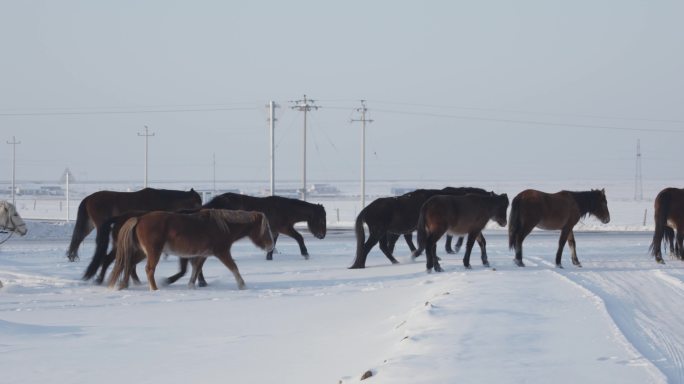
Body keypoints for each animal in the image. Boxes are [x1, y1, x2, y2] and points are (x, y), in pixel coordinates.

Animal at [66, 186, 200, 260]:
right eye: (198, 201)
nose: (201, 209)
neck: (162, 199)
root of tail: (89, 198)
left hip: (90, 225)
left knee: (78, 237)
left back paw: (71, 256)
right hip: (99, 224)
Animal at [108, 210, 274, 292]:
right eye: (265, 229)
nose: (271, 246)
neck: (223, 226)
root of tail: (139, 219)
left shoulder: (202, 255)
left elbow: (196, 269)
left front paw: (191, 286)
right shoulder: (222, 252)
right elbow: (234, 267)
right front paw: (243, 286)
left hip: (143, 252)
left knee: (128, 264)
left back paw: (123, 285)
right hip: (153, 252)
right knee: (148, 269)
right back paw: (154, 289)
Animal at [352, 188, 492, 268]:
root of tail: (367, 209)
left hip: (382, 232)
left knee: (383, 247)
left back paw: (395, 261)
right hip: (378, 231)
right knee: (367, 247)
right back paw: (360, 265)